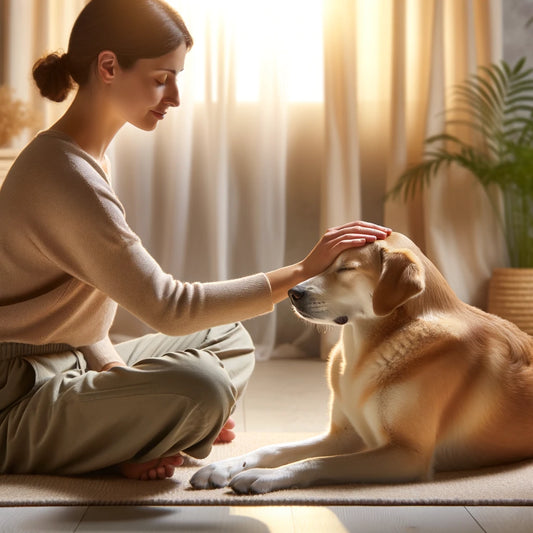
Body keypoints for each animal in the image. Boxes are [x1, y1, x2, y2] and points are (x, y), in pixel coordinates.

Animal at [191, 231, 532, 492]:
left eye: (346, 269)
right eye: (325, 263)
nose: (293, 292)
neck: (364, 351)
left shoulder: (408, 454)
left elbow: (316, 462)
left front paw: (263, 475)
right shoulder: (343, 436)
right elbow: (274, 447)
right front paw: (224, 466)